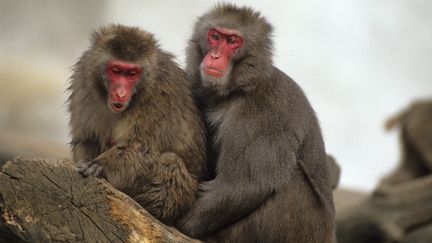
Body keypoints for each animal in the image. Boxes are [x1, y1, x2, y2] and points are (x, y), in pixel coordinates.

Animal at [68, 24, 207, 226]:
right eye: (116, 70)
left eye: (132, 74)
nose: (120, 93)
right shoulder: (83, 81)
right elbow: (87, 139)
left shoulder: (158, 96)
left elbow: (141, 148)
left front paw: (99, 165)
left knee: (170, 161)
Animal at [176, 3, 338, 243]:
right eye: (215, 36)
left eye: (233, 41)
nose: (215, 55)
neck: (240, 87)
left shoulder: (261, 115)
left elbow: (244, 185)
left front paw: (181, 222)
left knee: (289, 179)